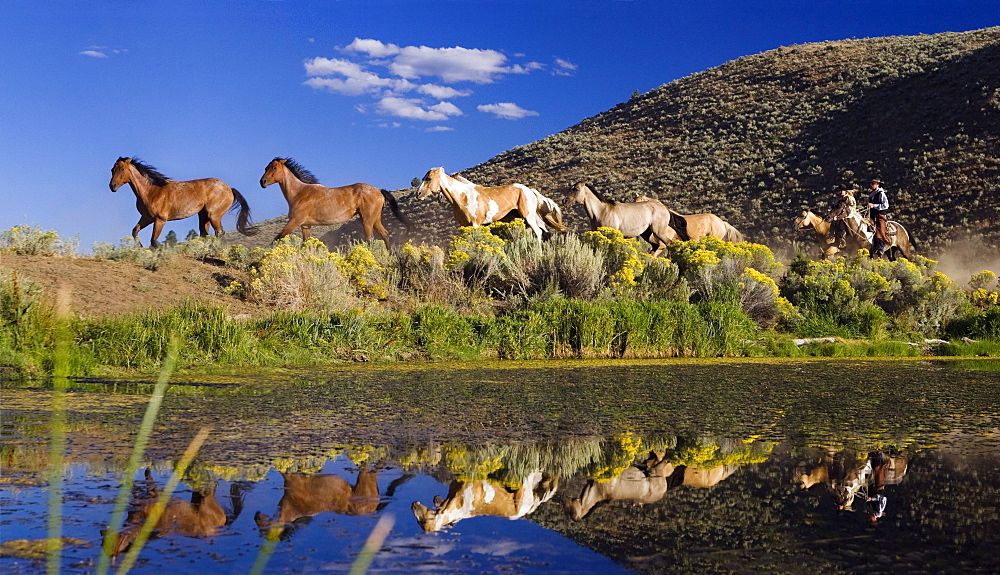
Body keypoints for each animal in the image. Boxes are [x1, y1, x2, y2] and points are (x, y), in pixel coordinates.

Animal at [109, 158, 254, 248]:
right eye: (112, 169)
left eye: (121, 169)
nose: (112, 186)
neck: (151, 190)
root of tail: (229, 189)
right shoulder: (147, 218)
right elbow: (135, 231)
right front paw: (140, 248)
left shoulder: (160, 220)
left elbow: (154, 240)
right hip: (203, 216)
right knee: (205, 234)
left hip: (214, 215)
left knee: (219, 233)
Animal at [262, 158, 414, 248]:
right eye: (265, 167)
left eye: (274, 167)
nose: (262, 182)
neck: (300, 193)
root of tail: (378, 190)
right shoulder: (305, 225)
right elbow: (305, 244)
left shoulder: (294, 221)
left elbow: (276, 238)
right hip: (375, 219)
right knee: (385, 235)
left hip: (367, 221)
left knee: (370, 239)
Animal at [416, 166, 572, 241]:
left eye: (429, 178)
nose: (418, 194)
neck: (463, 197)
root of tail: (530, 191)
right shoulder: (463, 226)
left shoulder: (475, 224)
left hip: (528, 217)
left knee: (539, 233)